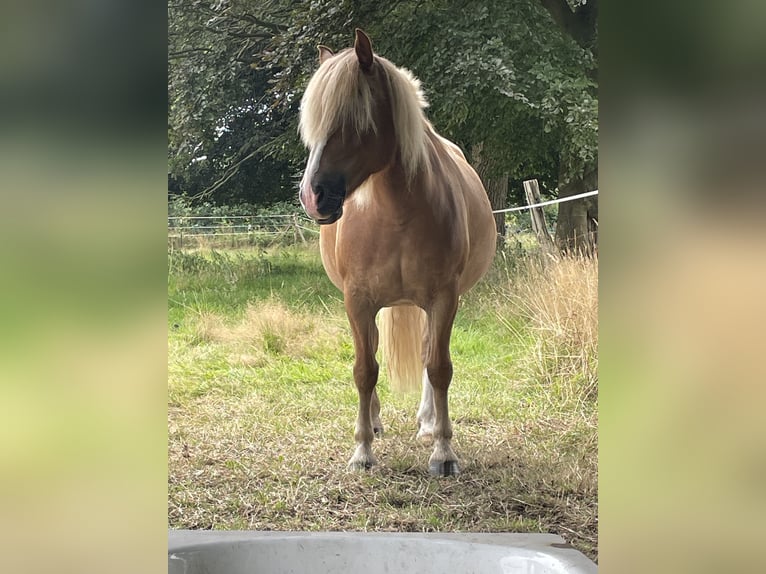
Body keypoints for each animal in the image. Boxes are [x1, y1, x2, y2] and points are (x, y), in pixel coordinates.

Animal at [296, 28, 496, 476]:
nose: (312, 196)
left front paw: (443, 450)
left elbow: (438, 367)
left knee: (425, 354)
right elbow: (364, 369)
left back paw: (427, 422)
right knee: (371, 354)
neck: (397, 213)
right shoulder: (357, 300)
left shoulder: (443, 298)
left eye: (353, 117)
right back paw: (374, 422)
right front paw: (362, 451)